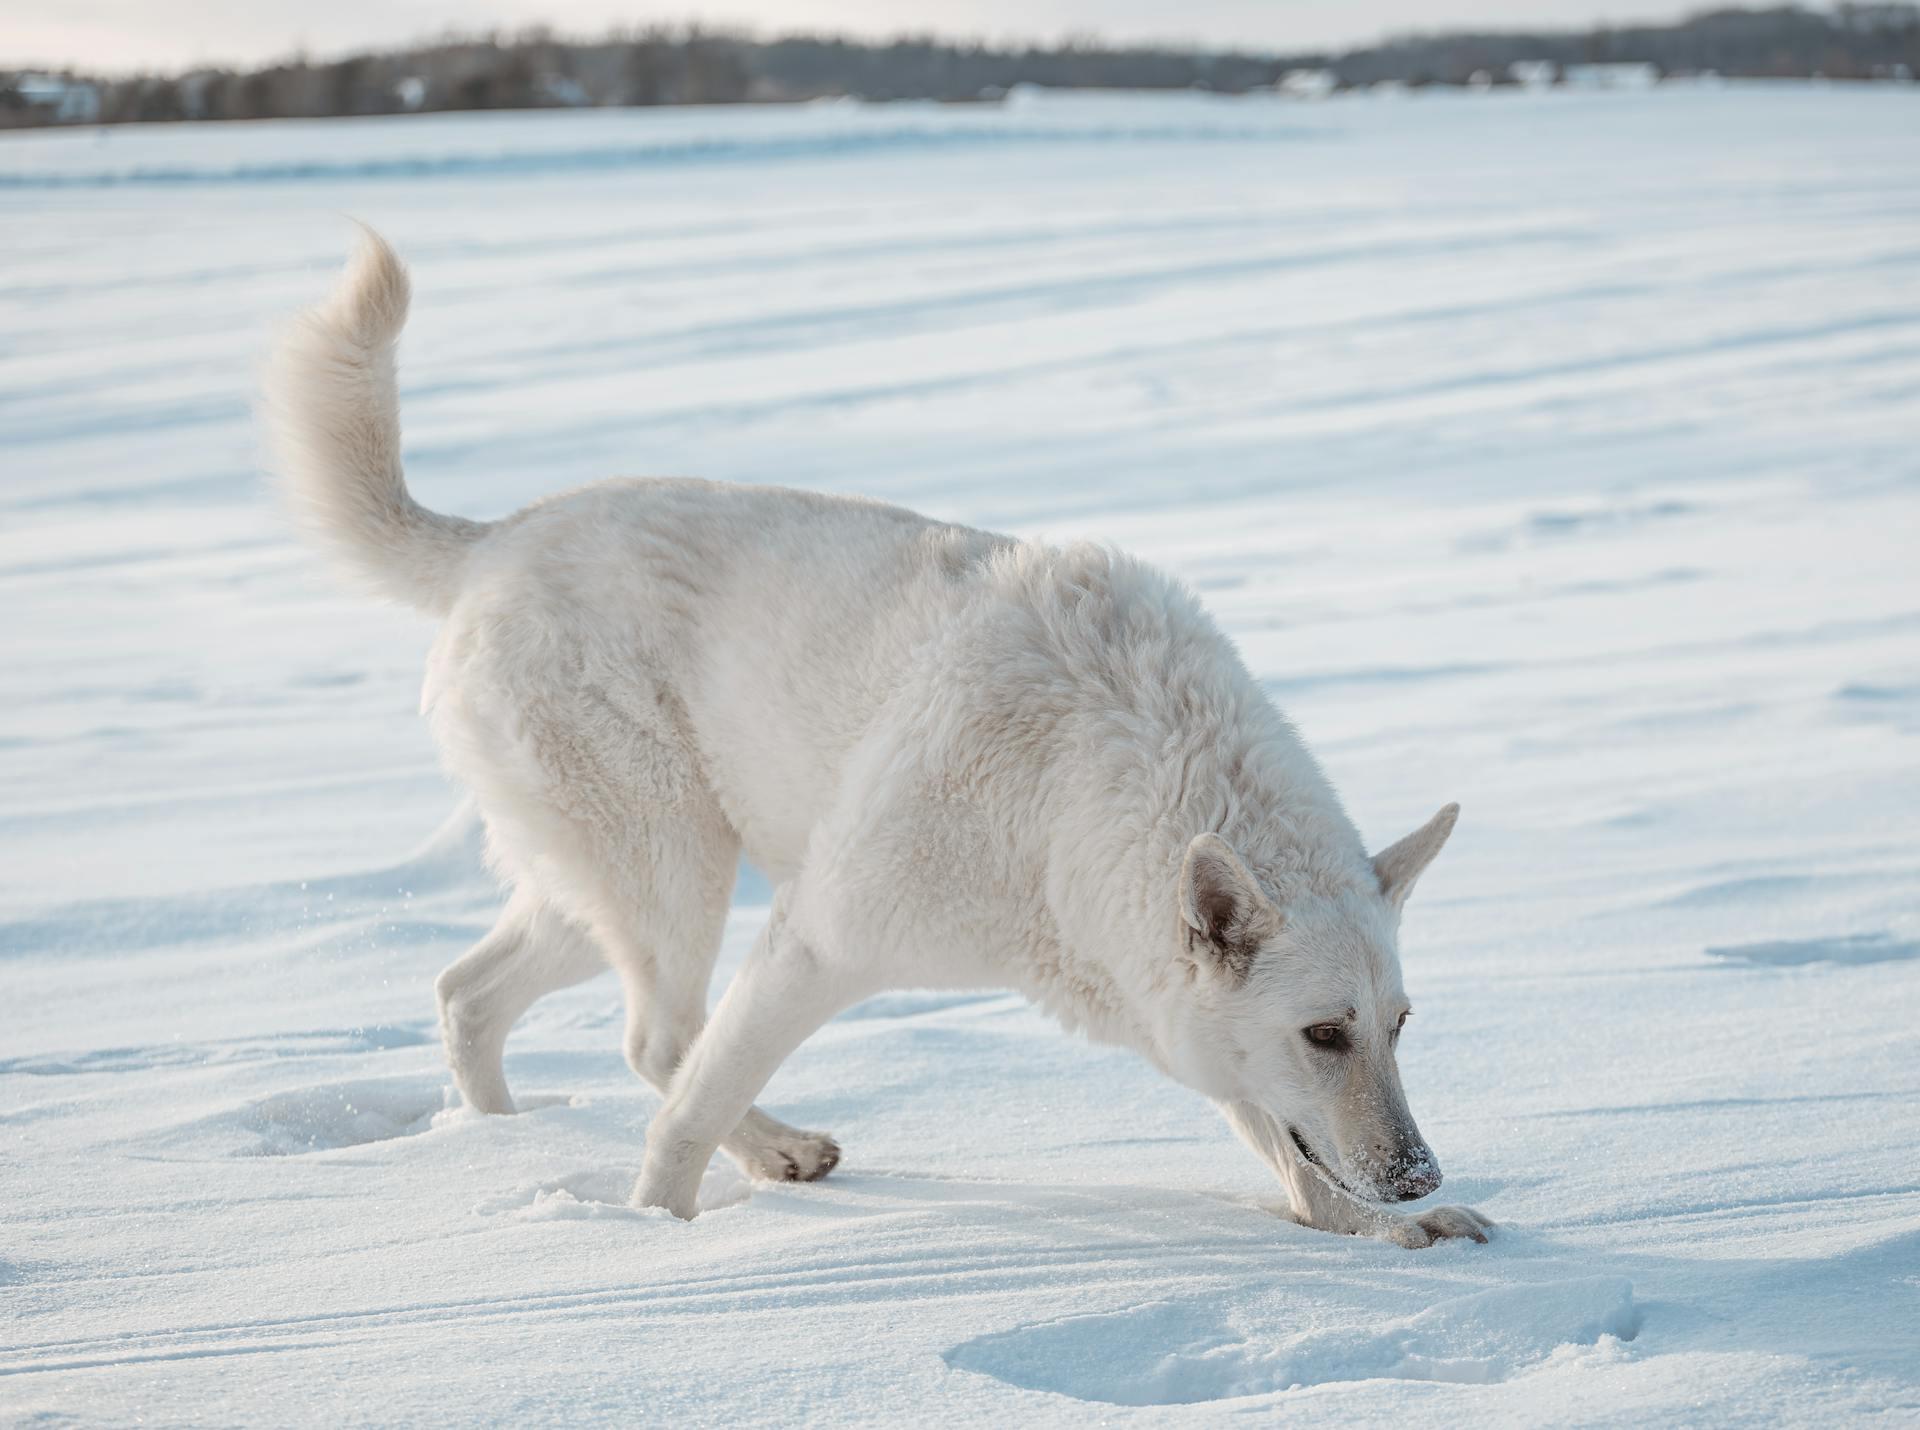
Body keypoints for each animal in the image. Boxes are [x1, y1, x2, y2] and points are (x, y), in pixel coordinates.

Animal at [270, 228, 1489, 1243]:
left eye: (1400, 1024)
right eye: (1325, 1034)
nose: (1421, 1174)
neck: (1068, 808)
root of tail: (495, 541)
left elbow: (1281, 1142)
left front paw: (1380, 1233)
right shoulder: (819, 939)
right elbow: (690, 1101)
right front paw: (655, 1237)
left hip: (610, 886)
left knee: (468, 993)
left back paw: (505, 1138)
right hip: (672, 871)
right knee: (656, 1043)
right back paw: (720, 1169)